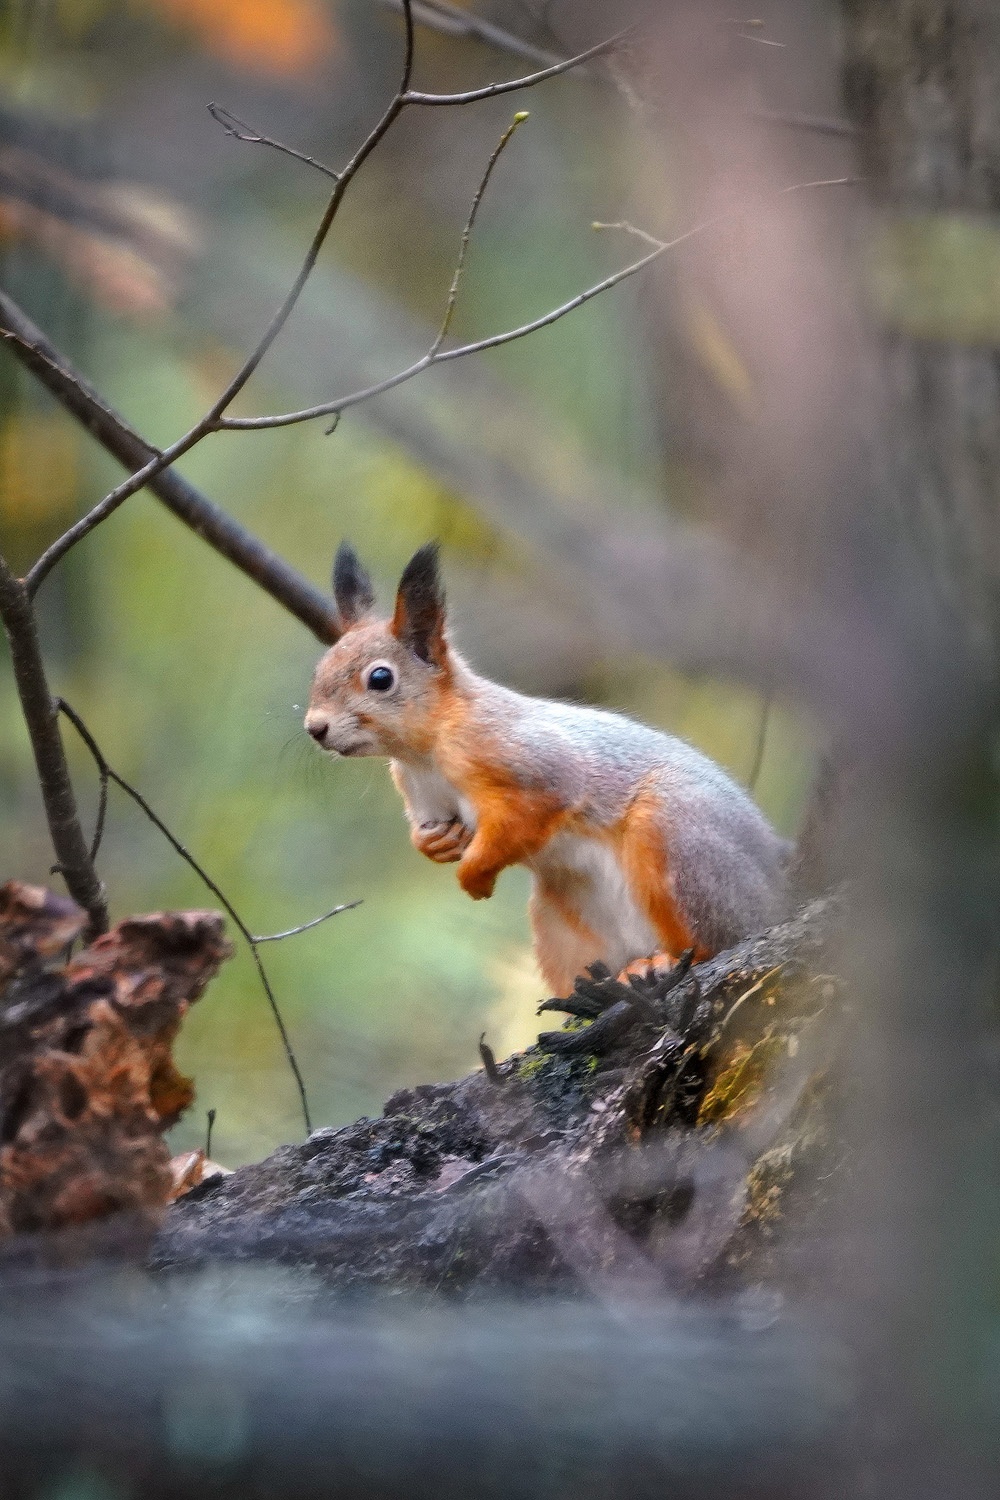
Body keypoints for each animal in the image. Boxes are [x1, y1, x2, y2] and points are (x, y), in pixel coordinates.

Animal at [305, 546, 791, 1002]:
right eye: (319, 670)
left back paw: (665, 960)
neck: (425, 752)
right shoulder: (420, 791)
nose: (315, 728)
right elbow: (429, 831)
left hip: (681, 842)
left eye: (380, 678)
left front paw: (473, 875)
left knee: (714, 941)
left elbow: (530, 813)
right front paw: (435, 844)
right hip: (561, 930)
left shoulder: (530, 765)